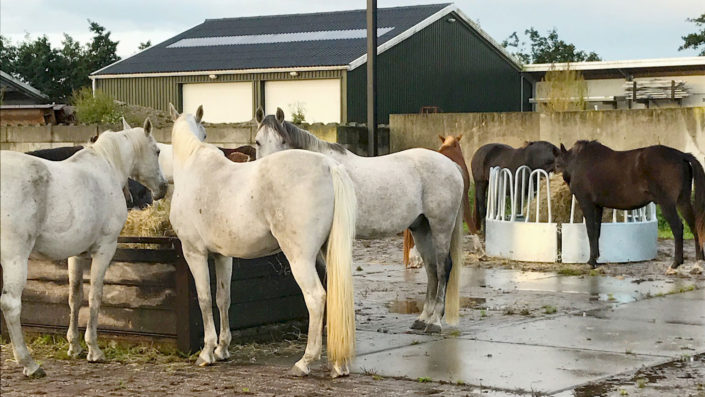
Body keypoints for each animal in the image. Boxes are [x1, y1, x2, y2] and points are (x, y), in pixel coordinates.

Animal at [0, 119, 166, 376]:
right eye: (157, 151)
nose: (162, 188)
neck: (106, 167)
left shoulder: (75, 255)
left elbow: (75, 297)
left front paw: (74, 347)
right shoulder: (105, 249)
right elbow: (95, 296)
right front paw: (94, 349)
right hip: (15, 259)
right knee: (10, 305)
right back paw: (29, 363)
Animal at [168, 105, 358, 378]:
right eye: (204, 133)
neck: (193, 168)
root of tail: (329, 166)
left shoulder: (194, 252)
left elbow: (204, 299)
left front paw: (206, 353)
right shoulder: (223, 256)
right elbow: (223, 298)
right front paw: (222, 349)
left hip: (300, 259)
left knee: (315, 298)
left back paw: (304, 362)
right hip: (328, 253)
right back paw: (339, 366)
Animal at [256, 107, 464, 332]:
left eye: (283, 141)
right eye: (258, 141)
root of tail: (451, 165)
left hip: (441, 226)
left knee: (443, 267)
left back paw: (435, 321)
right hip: (421, 227)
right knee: (431, 268)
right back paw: (423, 318)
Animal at [556, 140, 704, 270]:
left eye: (557, 164)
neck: (578, 162)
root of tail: (681, 155)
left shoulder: (587, 203)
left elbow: (591, 231)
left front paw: (592, 261)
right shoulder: (598, 206)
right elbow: (597, 231)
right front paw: (596, 258)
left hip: (667, 203)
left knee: (678, 228)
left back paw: (676, 262)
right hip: (682, 201)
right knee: (694, 225)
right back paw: (699, 260)